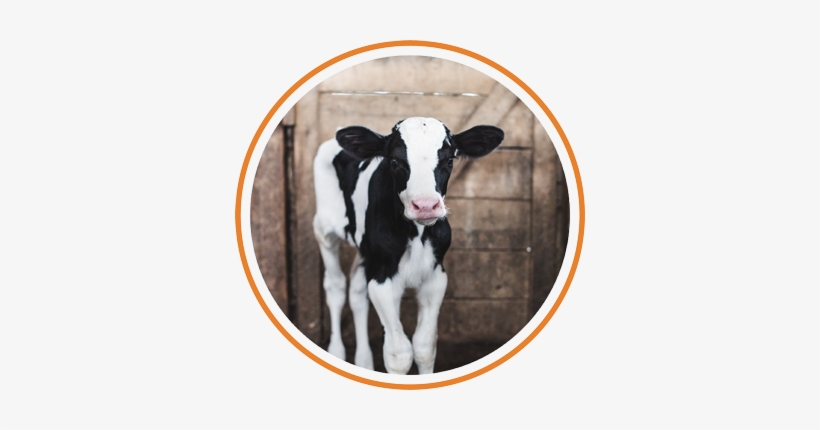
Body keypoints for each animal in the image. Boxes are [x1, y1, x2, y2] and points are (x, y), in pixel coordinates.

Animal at [312, 117, 504, 374]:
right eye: (394, 160)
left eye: (449, 160)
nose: (425, 206)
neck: (416, 234)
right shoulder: (383, 278)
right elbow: (399, 354)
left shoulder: (435, 275)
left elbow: (424, 347)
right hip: (324, 230)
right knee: (336, 286)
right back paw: (337, 352)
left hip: (367, 250)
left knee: (357, 291)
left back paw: (363, 361)